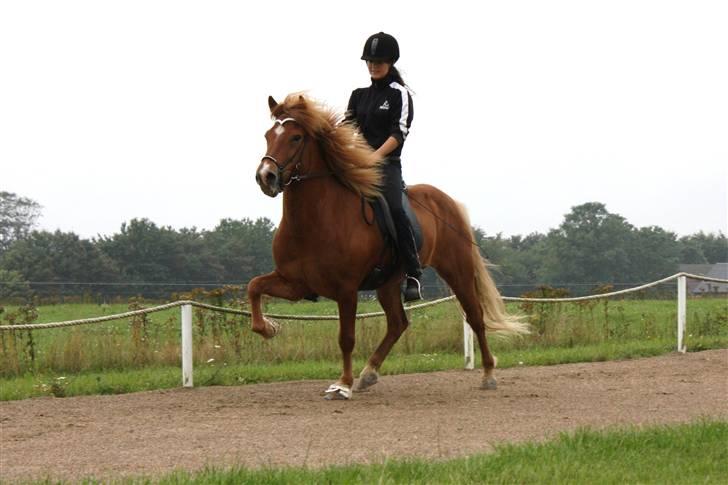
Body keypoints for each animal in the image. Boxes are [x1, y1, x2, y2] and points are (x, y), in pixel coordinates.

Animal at [247, 92, 528, 398]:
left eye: (296, 137)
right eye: (267, 135)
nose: (265, 177)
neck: (315, 220)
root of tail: (447, 201)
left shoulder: (346, 289)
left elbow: (346, 338)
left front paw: (343, 384)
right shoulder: (296, 283)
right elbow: (254, 287)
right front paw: (269, 328)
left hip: (458, 270)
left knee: (475, 316)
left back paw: (488, 374)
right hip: (389, 283)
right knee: (398, 323)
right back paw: (368, 374)